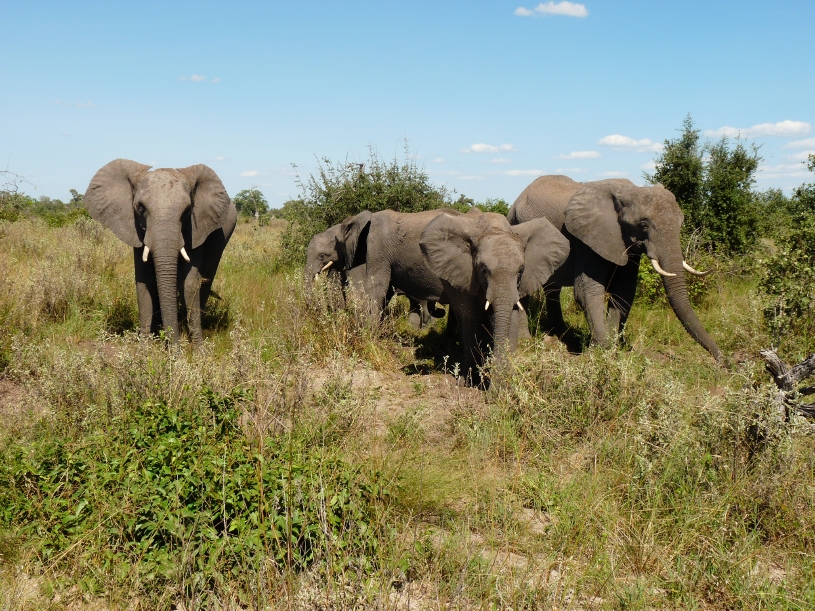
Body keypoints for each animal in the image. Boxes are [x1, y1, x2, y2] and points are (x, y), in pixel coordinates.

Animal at [84, 159, 237, 345]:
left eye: (187, 211)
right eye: (140, 208)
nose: (175, 349)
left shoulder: (196, 229)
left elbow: (189, 282)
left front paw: (198, 348)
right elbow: (145, 282)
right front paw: (145, 346)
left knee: (206, 280)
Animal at [419, 212, 570, 383]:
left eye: (521, 270)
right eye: (483, 269)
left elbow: (511, 319)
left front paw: (505, 379)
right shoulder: (467, 278)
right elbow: (471, 321)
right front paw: (468, 381)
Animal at [507, 175, 722, 362]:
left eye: (681, 223)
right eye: (644, 225)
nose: (723, 361)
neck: (628, 193)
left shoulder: (627, 244)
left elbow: (624, 291)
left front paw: (614, 347)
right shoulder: (585, 239)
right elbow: (587, 290)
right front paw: (601, 349)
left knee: (553, 288)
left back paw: (560, 333)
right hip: (516, 227)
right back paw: (527, 341)